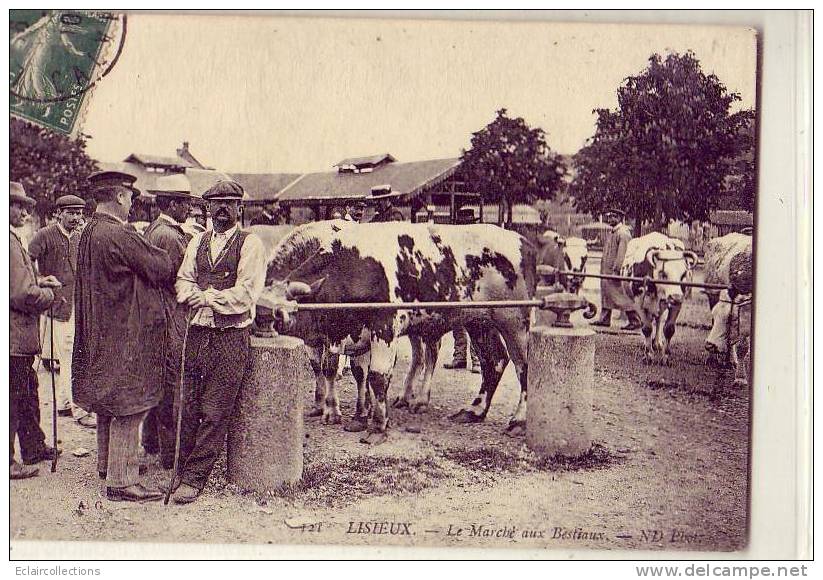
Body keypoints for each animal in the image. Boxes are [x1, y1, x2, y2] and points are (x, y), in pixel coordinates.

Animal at [260, 223, 536, 444]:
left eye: (279, 312)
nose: (262, 319)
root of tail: (521, 240)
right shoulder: (353, 335)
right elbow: (356, 373)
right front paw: (360, 416)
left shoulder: (384, 328)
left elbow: (377, 377)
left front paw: (377, 427)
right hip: (479, 321)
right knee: (494, 361)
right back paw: (473, 411)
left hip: (515, 321)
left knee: (523, 366)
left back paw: (518, 421)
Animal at [620, 232, 700, 364]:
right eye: (663, 273)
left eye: (683, 274)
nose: (676, 297)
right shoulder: (639, 302)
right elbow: (647, 328)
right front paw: (648, 355)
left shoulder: (677, 304)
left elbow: (669, 328)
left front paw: (665, 357)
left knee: (658, 319)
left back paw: (657, 343)